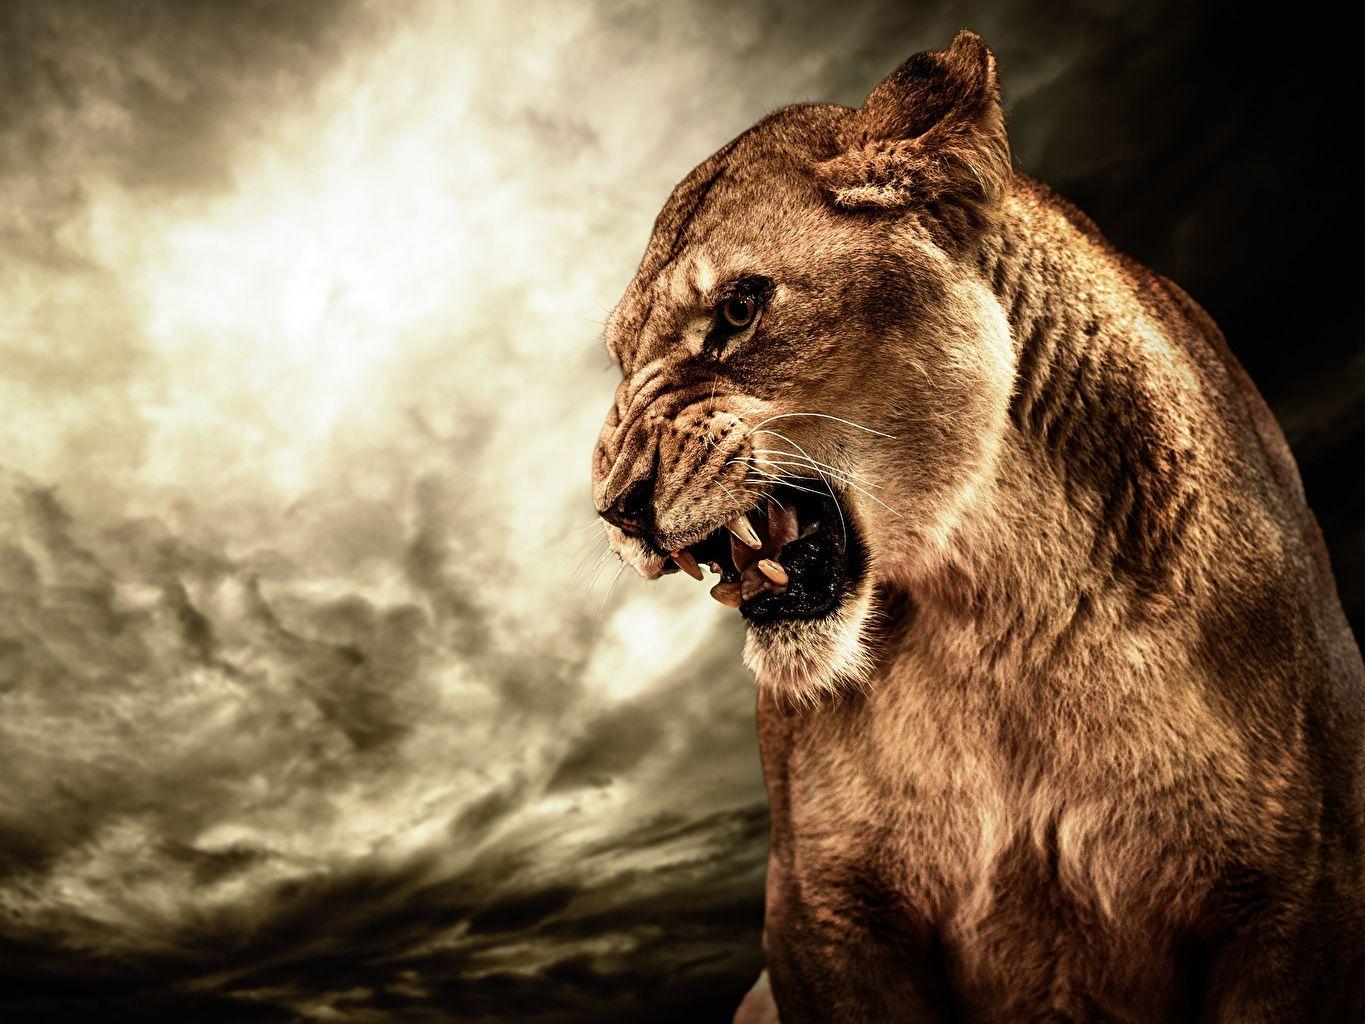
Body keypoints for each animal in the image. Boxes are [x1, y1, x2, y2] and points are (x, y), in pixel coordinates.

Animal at [591, 30, 1365, 1023]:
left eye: (737, 308)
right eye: (621, 360)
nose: (617, 507)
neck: (1005, 607)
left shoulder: (1301, 895)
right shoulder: (820, 911)